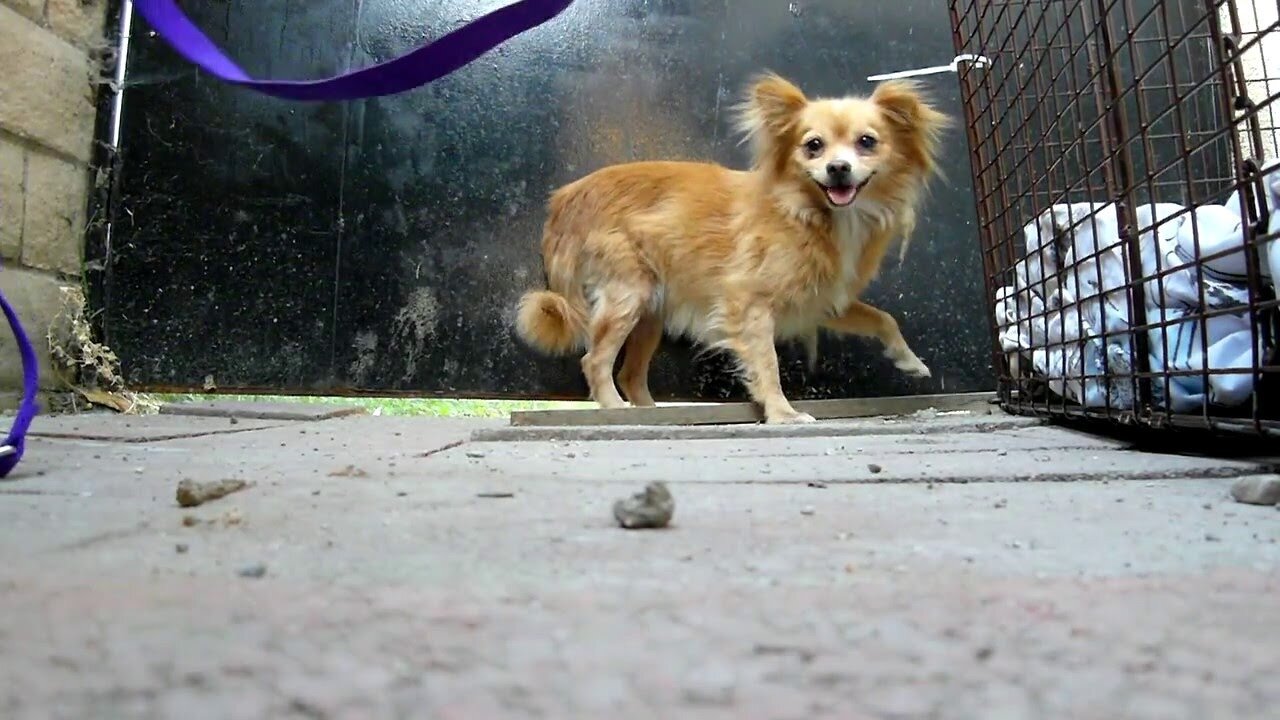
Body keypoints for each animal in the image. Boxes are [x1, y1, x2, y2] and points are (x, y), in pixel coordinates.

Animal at [514, 73, 947, 420]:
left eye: (867, 142)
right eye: (813, 146)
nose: (837, 168)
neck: (809, 214)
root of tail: (564, 202)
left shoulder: (822, 301)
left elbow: (882, 318)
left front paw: (910, 361)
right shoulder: (750, 305)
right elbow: (767, 364)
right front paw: (782, 414)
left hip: (650, 311)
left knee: (630, 373)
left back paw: (651, 411)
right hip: (628, 295)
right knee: (596, 360)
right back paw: (616, 409)